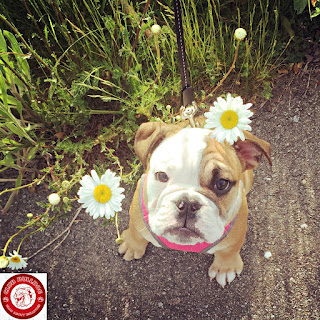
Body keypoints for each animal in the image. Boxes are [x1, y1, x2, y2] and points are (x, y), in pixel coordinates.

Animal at [119, 120, 272, 288]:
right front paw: (132, 245)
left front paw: (225, 267)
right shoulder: (137, 215)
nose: (187, 204)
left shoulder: (236, 231)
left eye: (222, 183)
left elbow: (230, 250)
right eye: (162, 176)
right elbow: (136, 232)